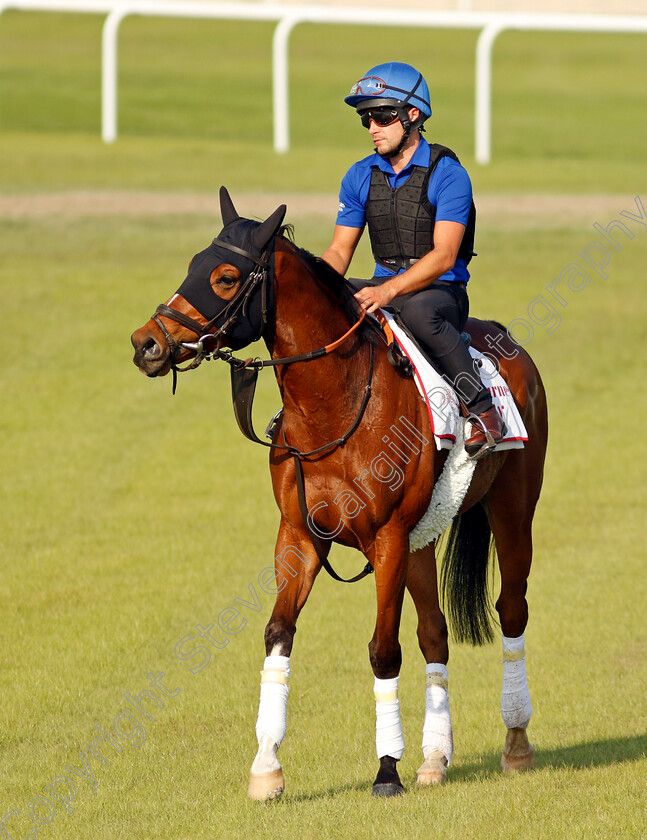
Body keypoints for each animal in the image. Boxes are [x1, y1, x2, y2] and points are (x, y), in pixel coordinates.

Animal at [132, 189, 548, 800]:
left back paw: (515, 744)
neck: (333, 403)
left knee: (511, 612)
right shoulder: (300, 537)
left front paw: (386, 769)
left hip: (512, 515)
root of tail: (511, 344)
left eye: (226, 277)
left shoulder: (387, 540)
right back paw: (434, 758)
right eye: (191, 265)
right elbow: (278, 634)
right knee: (435, 635)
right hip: (423, 541)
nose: (147, 343)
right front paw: (266, 767)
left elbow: (382, 651)